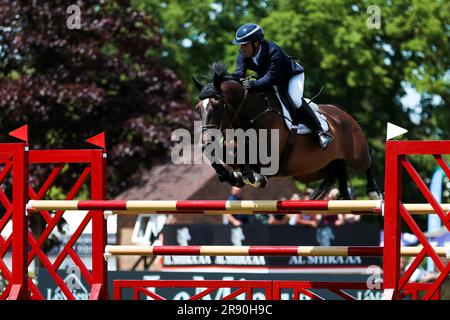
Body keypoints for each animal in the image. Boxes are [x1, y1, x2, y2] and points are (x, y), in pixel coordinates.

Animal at [192, 62, 382, 200]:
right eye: (198, 108)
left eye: (217, 105)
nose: (206, 140)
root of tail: (342, 114)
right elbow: (227, 155)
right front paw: (234, 177)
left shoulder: (269, 155)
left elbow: (241, 157)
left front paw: (253, 178)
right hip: (314, 171)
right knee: (341, 172)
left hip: (356, 154)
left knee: (368, 160)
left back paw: (374, 192)